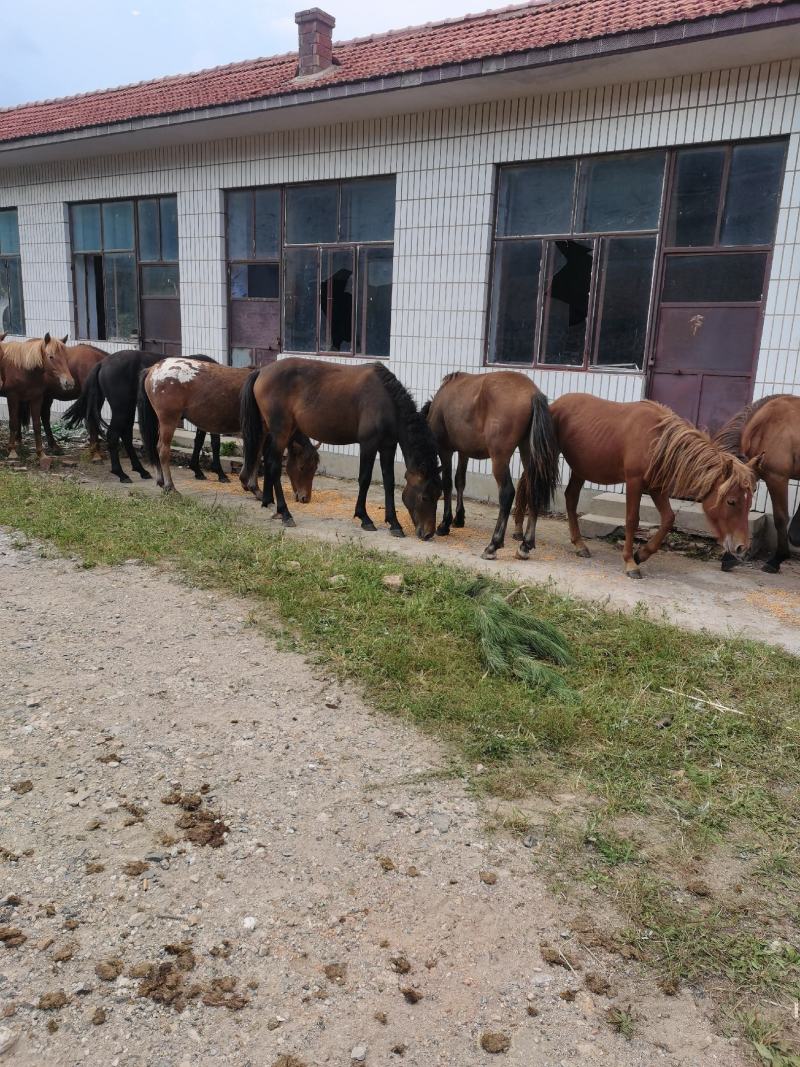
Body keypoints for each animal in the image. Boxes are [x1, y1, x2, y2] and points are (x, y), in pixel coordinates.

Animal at [62, 349, 225, 484]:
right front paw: (220, 473)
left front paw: (197, 470)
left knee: (126, 435)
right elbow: (215, 443)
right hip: (122, 408)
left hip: (128, 407)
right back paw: (121, 474)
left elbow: (199, 441)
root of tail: (102, 363)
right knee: (114, 436)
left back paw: (141, 470)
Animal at [136, 357, 319, 500]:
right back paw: (170, 487)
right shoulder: (259, 431)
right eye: (302, 467)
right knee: (163, 450)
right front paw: (253, 487)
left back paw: (161, 481)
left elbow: (252, 455)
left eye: (314, 467)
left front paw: (248, 484)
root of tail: (153, 369)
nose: (305, 497)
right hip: (168, 420)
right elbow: (255, 456)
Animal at [240, 358, 441, 538]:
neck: (387, 401)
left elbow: (389, 482)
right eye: (424, 497)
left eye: (439, 495)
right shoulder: (368, 444)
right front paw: (364, 518)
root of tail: (261, 371)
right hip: (281, 431)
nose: (428, 533)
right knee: (274, 466)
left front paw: (394, 523)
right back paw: (285, 513)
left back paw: (269, 503)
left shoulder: (388, 446)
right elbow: (365, 479)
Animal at [422, 370, 558, 560]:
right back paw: (525, 545)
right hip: (528, 454)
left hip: (499, 458)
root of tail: (533, 393)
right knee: (534, 491)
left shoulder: (445, 450)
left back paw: (493, 544)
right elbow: (460, 481)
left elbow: (448, 484)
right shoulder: (464, 452)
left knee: (507, 493)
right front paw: (459, 518)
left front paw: (445, 523)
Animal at [515, 394, 758, 578]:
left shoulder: (657, 488)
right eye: (731, 501)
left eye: (749, 504)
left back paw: (579, 544)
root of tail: (554, 405)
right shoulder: (634, 482)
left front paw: (642, 554)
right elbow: (632, 520)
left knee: (570, 497)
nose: (742, 548)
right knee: (528, 485)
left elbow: (668, 519)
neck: (659, 440)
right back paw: (521, 536)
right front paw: (630, 562)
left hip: (580, 469)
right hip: (548, 456)